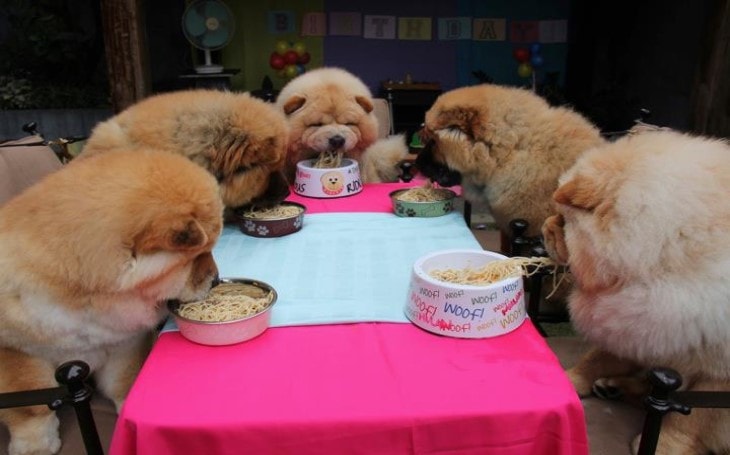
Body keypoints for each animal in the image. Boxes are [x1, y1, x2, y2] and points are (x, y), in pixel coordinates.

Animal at [0, 150, 222, 455]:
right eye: (198, 255)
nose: (216, 279)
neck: (88, 295)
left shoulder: (123, 344)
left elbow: (123, 381)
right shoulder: (16, 350)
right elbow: (31, 407)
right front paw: (35, 445)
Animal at [540, 130, 728, 454]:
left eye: (562, 220)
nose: (543, 227)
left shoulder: (716, 369)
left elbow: (692, 419)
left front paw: (665, 445)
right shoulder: (635, 318)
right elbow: (597, 357)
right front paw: (569, 381)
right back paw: (613, 387)